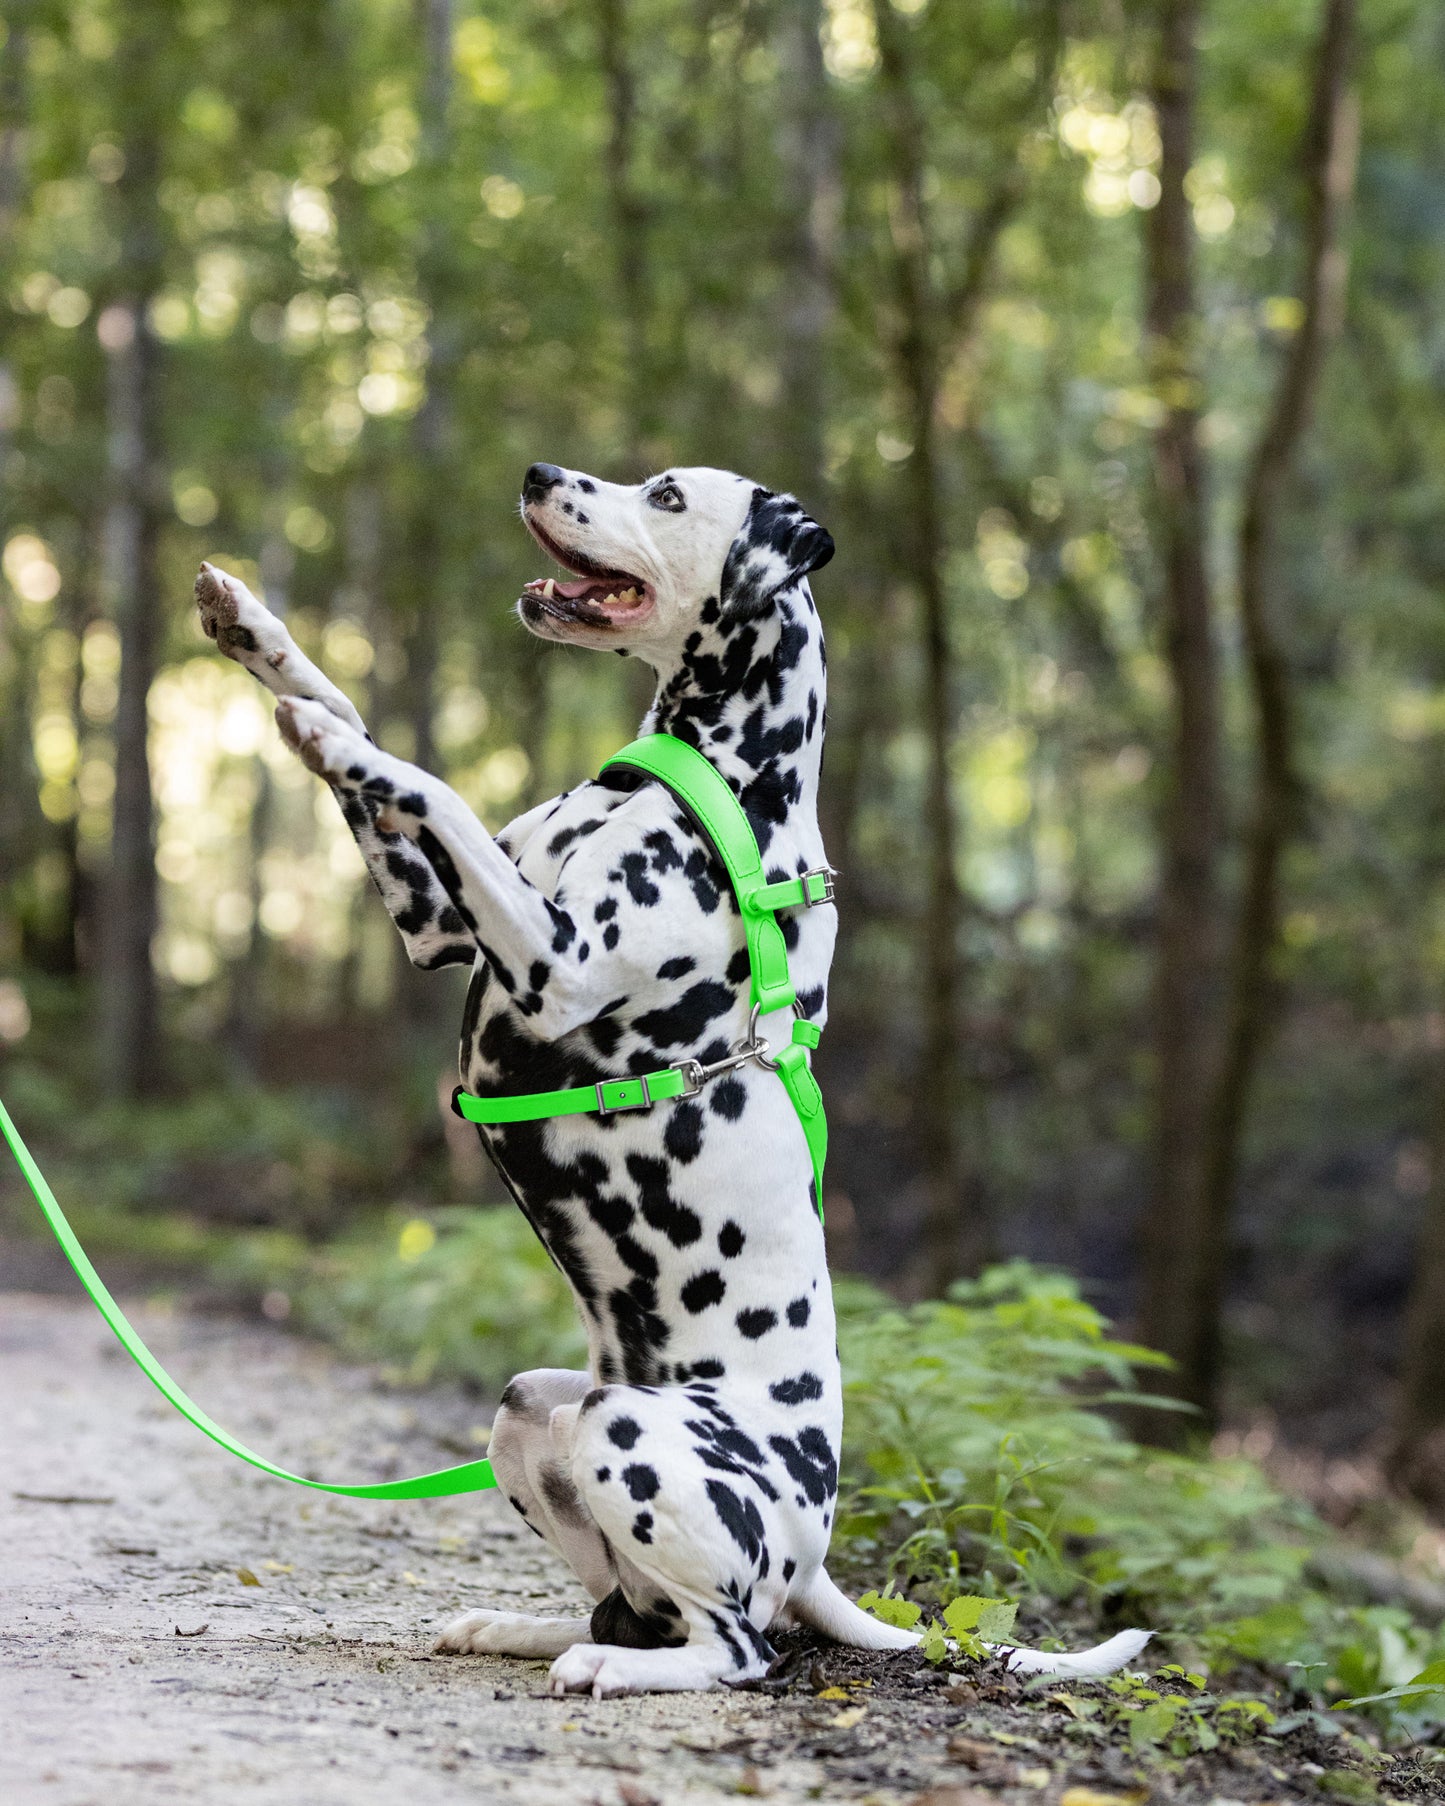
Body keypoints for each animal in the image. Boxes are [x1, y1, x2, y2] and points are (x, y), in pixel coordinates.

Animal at [195, 462, 1148, 1690]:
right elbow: (368, 723)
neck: (718, 781)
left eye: (665, 494)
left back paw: (619, 1670)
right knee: (623, 1605)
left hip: (630, 1438)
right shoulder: (439, 924)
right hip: (534, 1412)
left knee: (736, 1651)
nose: (538, 473)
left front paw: (320, 728)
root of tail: (812, 1555)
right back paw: (526, 1630)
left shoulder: (551, 961)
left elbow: (424, 777)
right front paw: (257, 637)